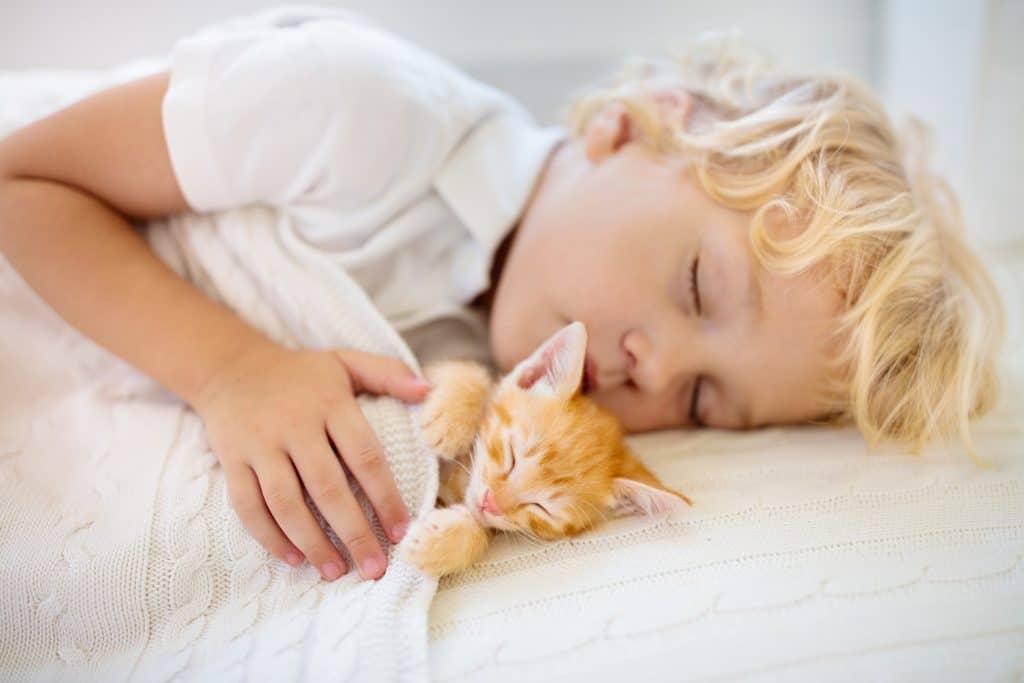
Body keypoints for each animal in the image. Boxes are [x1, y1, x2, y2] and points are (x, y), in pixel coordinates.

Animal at [401, 321, 696, 577]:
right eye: (512, 456)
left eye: (541, 507)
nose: (490, 502)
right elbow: (467, 374)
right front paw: (451, 422)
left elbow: (483, 524)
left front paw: (443, 543)